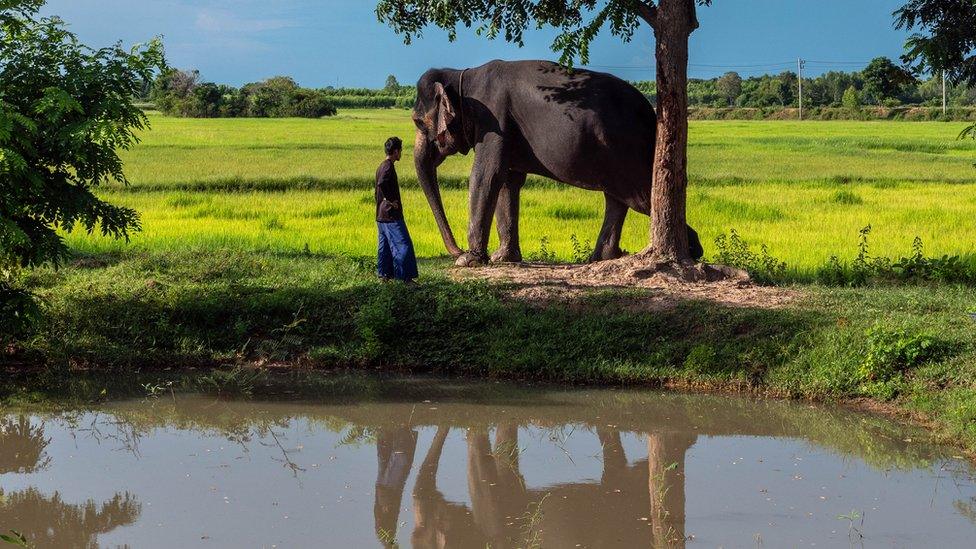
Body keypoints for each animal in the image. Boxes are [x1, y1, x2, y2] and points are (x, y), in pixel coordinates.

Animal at [410, 59, 700, 266]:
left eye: (418, 122)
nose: (456, 250)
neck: (462, 75)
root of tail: (652, 113)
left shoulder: (494, 121)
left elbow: (486, 176)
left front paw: (469, 260)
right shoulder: (505, 130)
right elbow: (507, 181)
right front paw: (502, 259)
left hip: (629, 151)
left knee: (640, 197)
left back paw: (693, 249)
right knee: (617, 199)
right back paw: (602, 258)